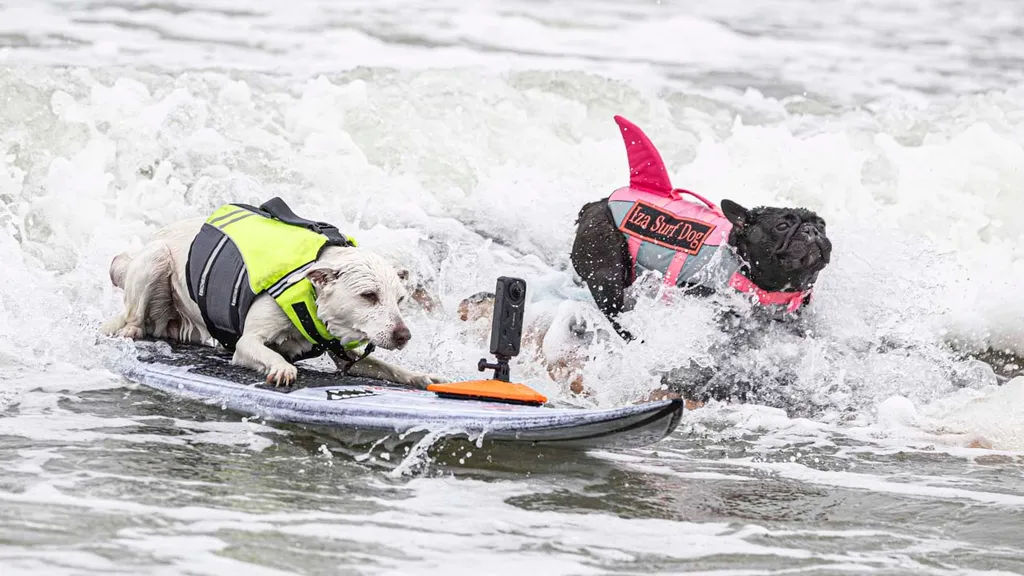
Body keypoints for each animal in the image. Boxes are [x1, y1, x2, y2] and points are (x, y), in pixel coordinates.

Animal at [100, 203, 448, 387]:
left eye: (400, 300)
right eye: (369, 295)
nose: (404, 335)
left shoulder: (344, 355)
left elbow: (386, 368)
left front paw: (419, 375)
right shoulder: (247, 342)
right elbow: (266, 352)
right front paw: (281, 367)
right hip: (155, 259)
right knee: (132, 317)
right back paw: (130, 329)